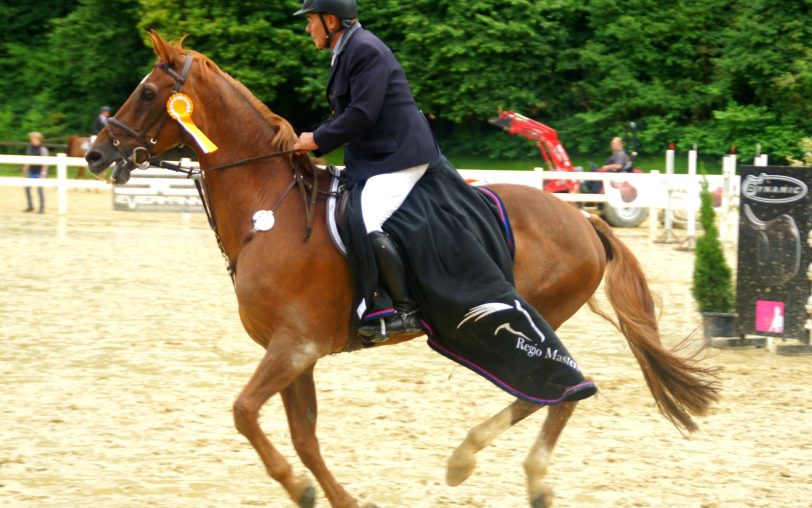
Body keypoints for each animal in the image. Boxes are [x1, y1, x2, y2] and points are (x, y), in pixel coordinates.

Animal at [84, 32, 716, 508]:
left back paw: (491, 466)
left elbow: (243, 412)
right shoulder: (295, 351)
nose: (95, 154)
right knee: (547, 392)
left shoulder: (294, 345)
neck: (271, 209)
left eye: (146, 93)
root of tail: (584, 219)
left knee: (557, 387)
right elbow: (303, 434)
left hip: (524, 316)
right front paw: (330, 496)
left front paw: (298, 487)